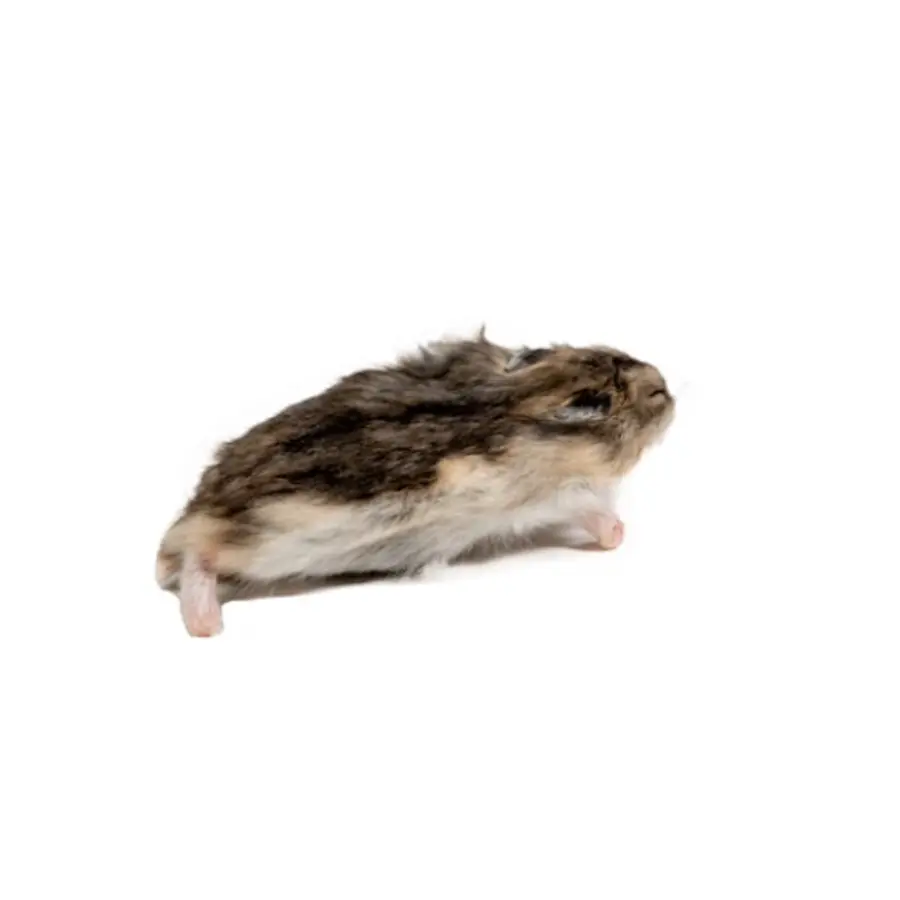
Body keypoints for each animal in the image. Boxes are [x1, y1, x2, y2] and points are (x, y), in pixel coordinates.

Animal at [157, 333, 676, 637]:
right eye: (605, 399)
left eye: (616, 356)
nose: (666, 388)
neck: (522, 395)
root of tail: (185, 523)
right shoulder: (554, 494)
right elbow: (592, 509)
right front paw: (618, 535)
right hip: (249, 542)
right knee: (198, 561)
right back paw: (206, 625)